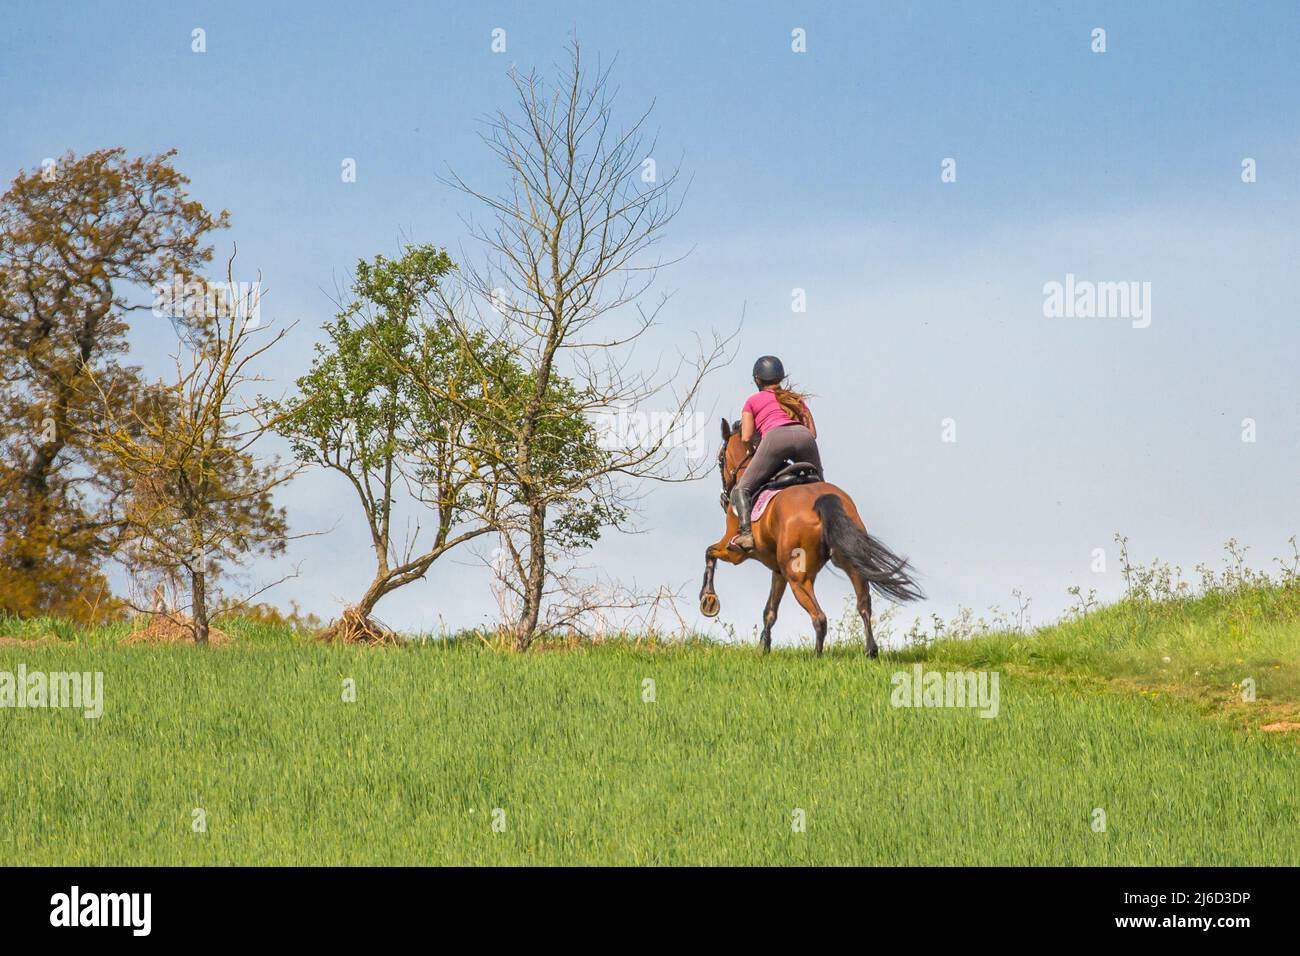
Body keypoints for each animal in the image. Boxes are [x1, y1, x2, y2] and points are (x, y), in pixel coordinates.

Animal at [699, 418, 923, 656]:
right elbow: (770, 611)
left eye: (720, 460)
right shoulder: (778, 571)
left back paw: (817, 657)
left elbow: (709, 552)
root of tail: (823, 500)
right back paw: (870, 651)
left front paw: (708, 600)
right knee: (863, 605)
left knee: (820, 617)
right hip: (847, 562)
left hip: (797, 577)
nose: (723, 498)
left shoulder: (734, 552)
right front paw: (763, 648)